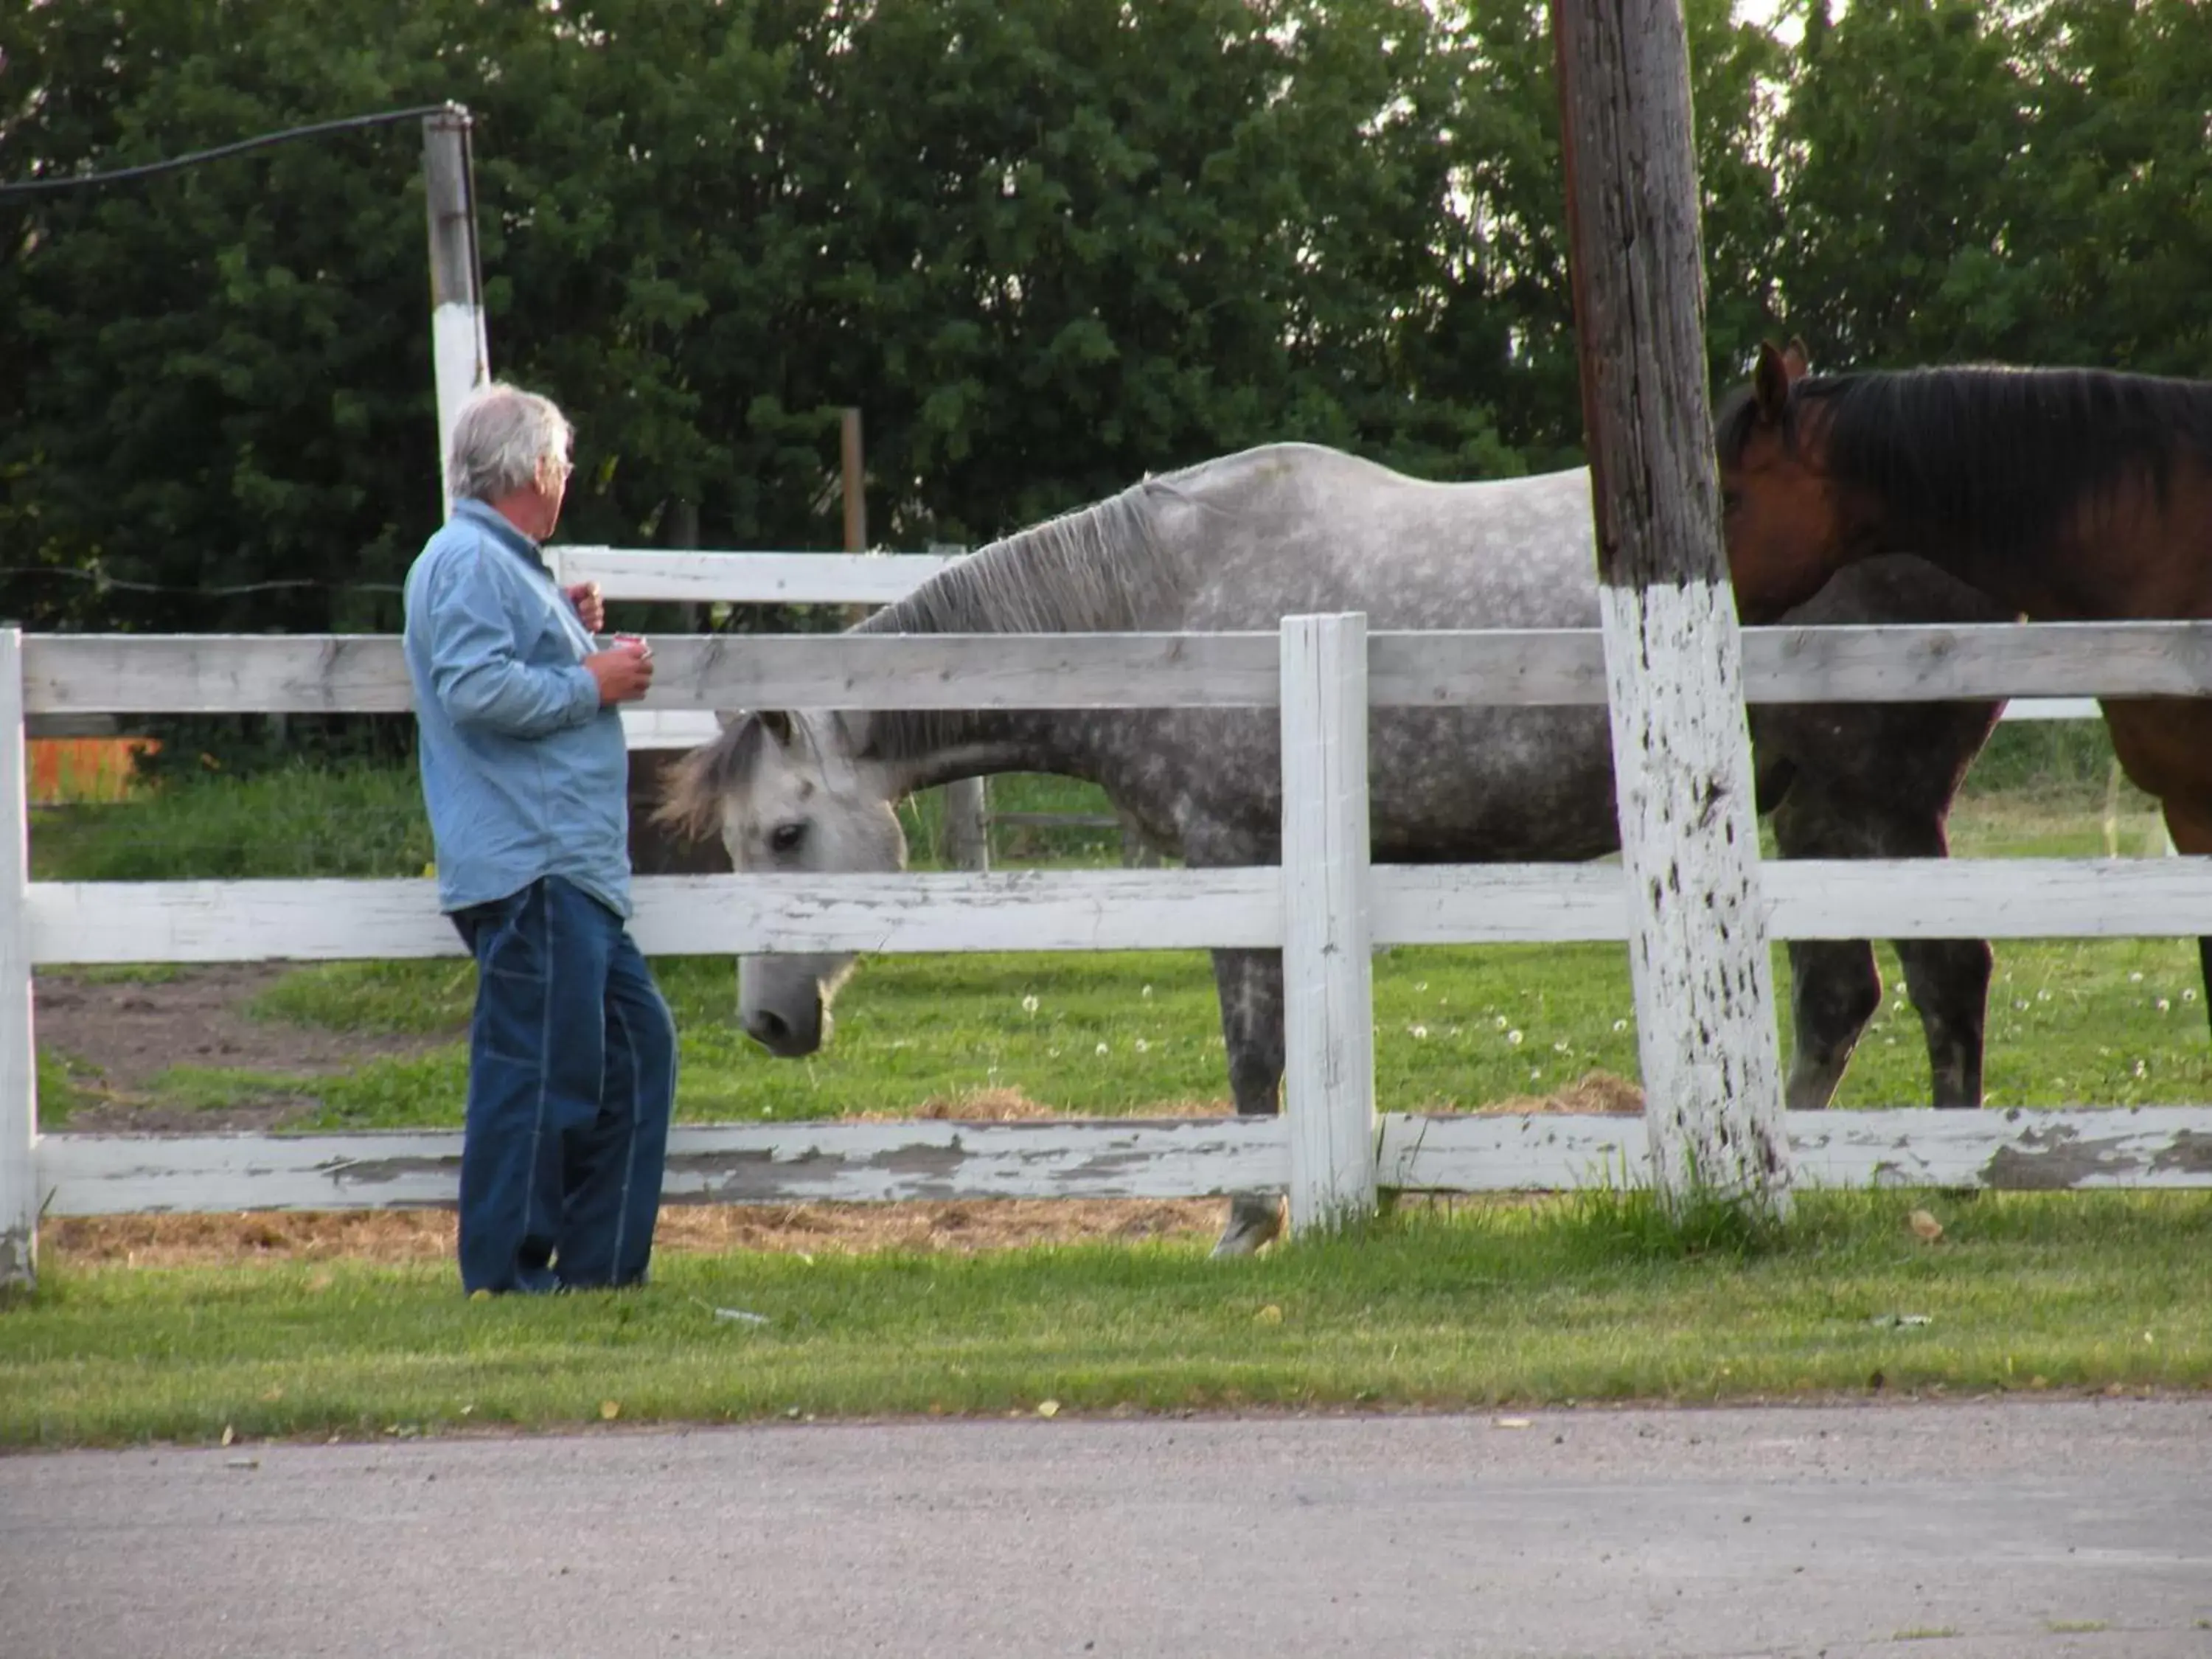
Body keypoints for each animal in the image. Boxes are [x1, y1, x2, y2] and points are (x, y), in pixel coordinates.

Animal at [655, 449, 2008, 1256]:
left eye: (785, 833)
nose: (767, 1022)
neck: (1162, 614)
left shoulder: (1234, 859)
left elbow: (1256, 1065)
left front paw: (1249, 1221)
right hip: (1812, 815)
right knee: (1842, 1000)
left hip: (1876, 809)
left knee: (1944, 982)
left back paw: (1944, 1180)